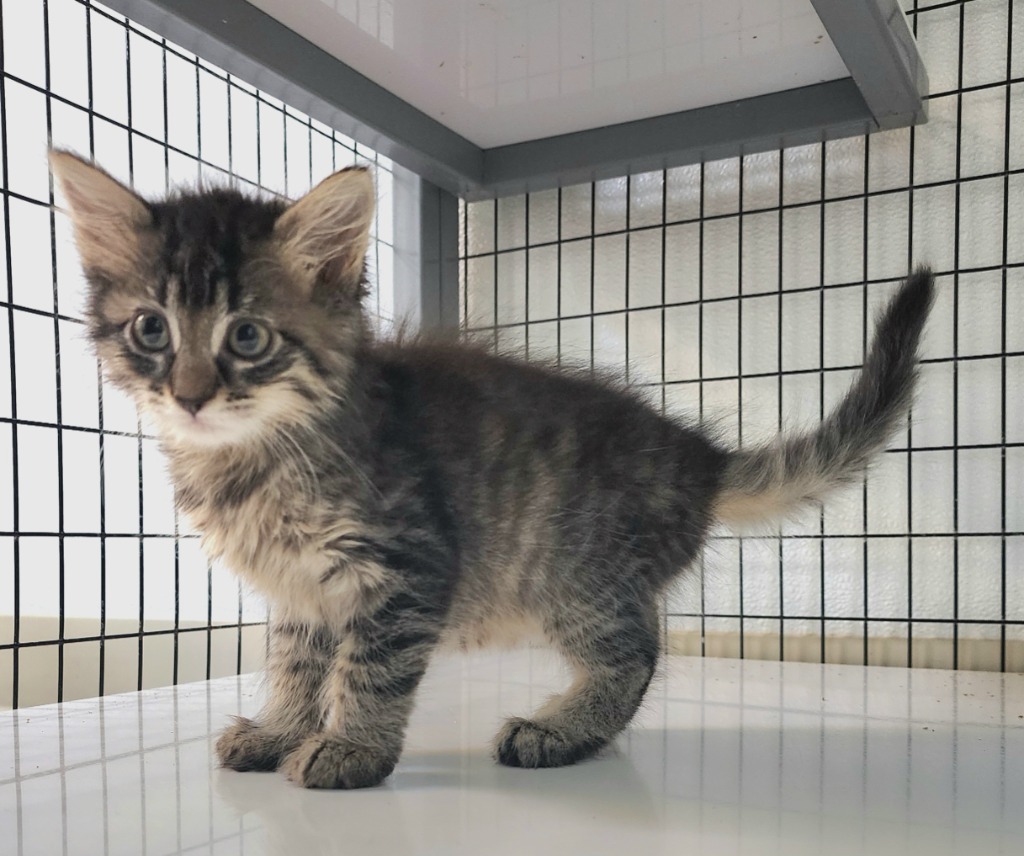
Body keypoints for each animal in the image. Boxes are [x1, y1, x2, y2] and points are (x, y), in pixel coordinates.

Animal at [49, 152, 937, 790]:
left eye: (246, 337)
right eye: (152, 330)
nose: (191, 396)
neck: (253, 455)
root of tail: (699, 456)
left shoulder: (407, 566)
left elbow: (370, 668)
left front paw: (350, 748)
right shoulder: (301, 591)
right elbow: (297, 665)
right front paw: (281, 728)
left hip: (576, 573)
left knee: (636, 653)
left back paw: (559, 730)